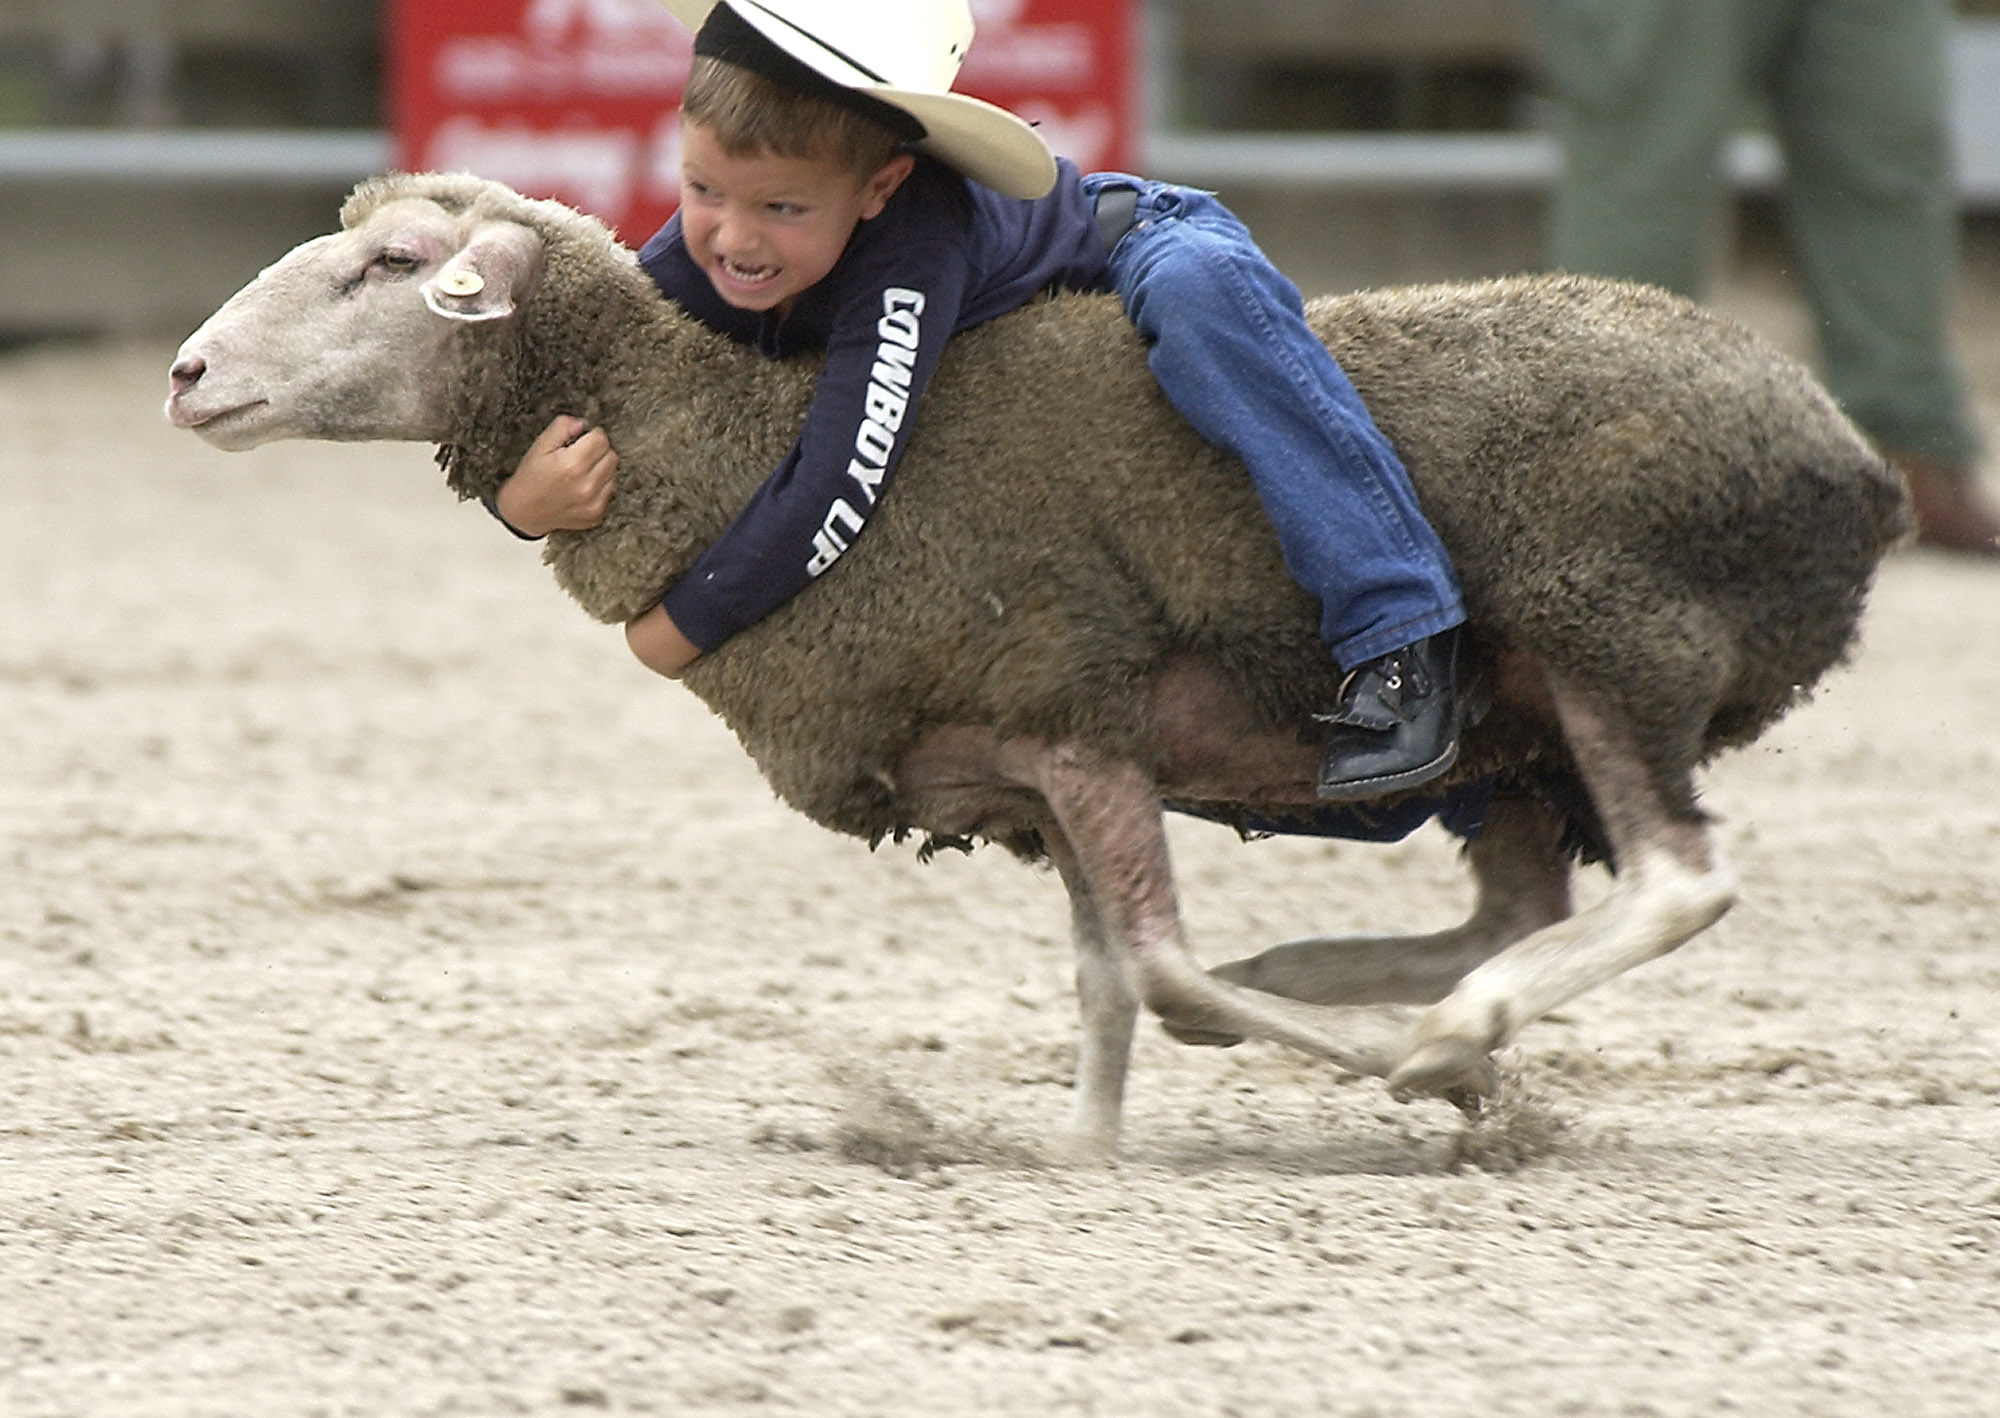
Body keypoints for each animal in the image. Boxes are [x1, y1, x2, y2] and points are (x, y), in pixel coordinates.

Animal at [168, 174, 1904, 1152]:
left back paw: (1445, 1033)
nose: (185, 374)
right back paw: (1395, 1002)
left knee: (1675, 881)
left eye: (395, 264)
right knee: (1524, 902)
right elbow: (1107, 985)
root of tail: (1851, 456)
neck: (739, 445)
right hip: (1524, 731)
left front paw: (1380, 1067)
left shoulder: (1069, 711)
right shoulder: (1037, 765)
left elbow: (1165, 975)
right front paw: (1079, 1146)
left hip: (1613, 634)